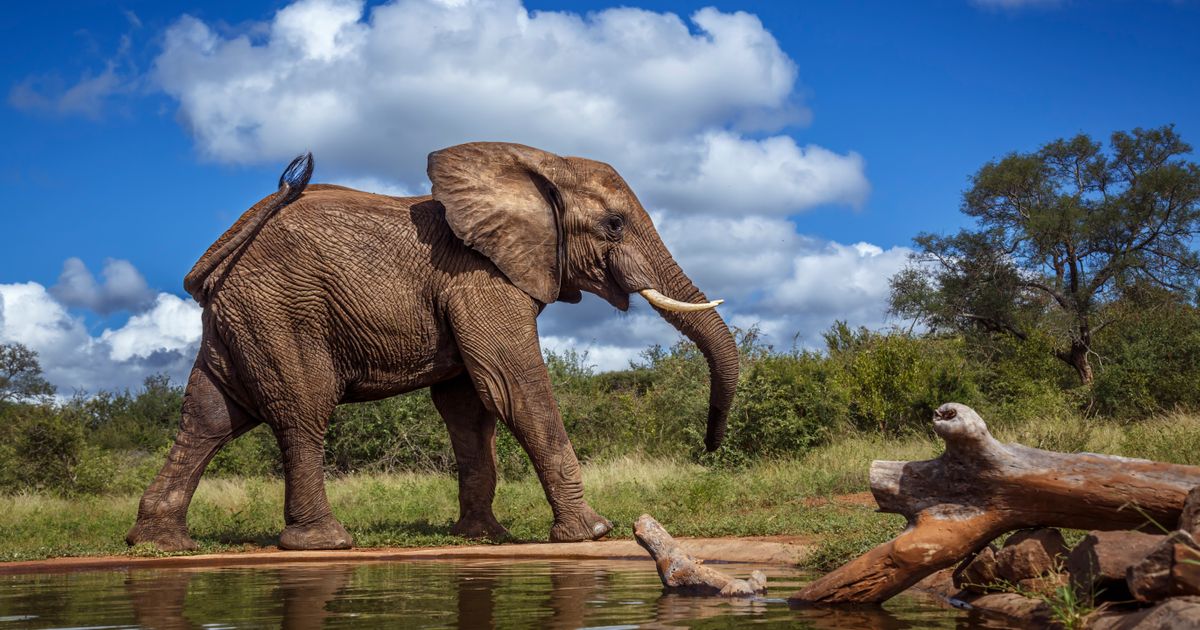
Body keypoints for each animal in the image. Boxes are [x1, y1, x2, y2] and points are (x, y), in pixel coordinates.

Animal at [126, 142, 734, 549]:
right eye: (613, 225)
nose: (710, 448)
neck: (538, 164)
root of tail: (222, 252)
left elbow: (469, 406)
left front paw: (484, 536)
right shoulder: (478, 276)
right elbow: (513, 385)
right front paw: (592, 532)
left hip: (242, 319)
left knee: (209, 417)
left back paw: (160, 543)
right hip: (282, 312)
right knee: (301, 411)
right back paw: (326, 543)